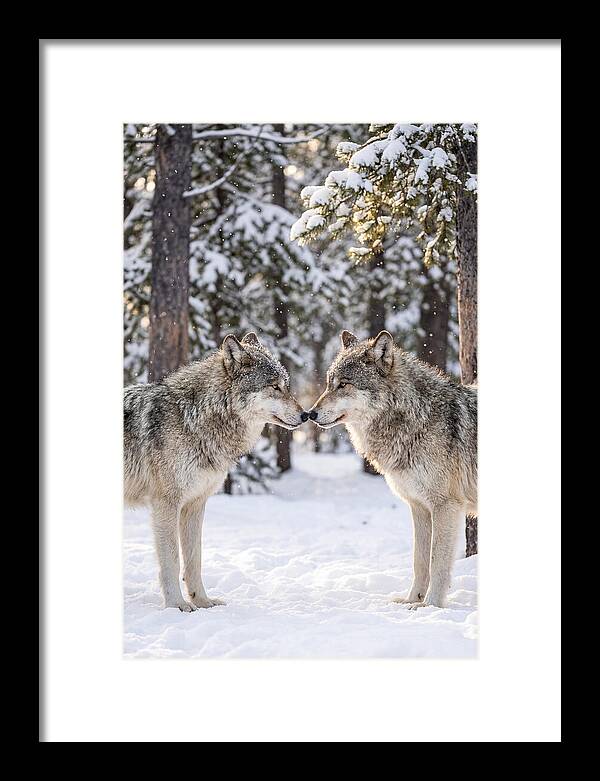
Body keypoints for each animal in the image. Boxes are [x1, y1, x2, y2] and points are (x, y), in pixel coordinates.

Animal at [124, 332, 306, 611]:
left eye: (286, 386)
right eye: (274, 387)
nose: (307, 415)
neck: (193, 418)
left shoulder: (195, 504)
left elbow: (194, 559)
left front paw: (202, 601)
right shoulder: (166, 504)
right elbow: (172, 560)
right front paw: (177, 605)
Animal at [309, 330, 477, 608]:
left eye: (344, 384)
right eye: (329, 383)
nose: (310, 414)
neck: (416, 417)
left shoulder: (446, 506)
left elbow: (437, 562)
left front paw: (430, 605)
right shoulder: (419, 506)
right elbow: (419, 561)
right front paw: (412, 600)